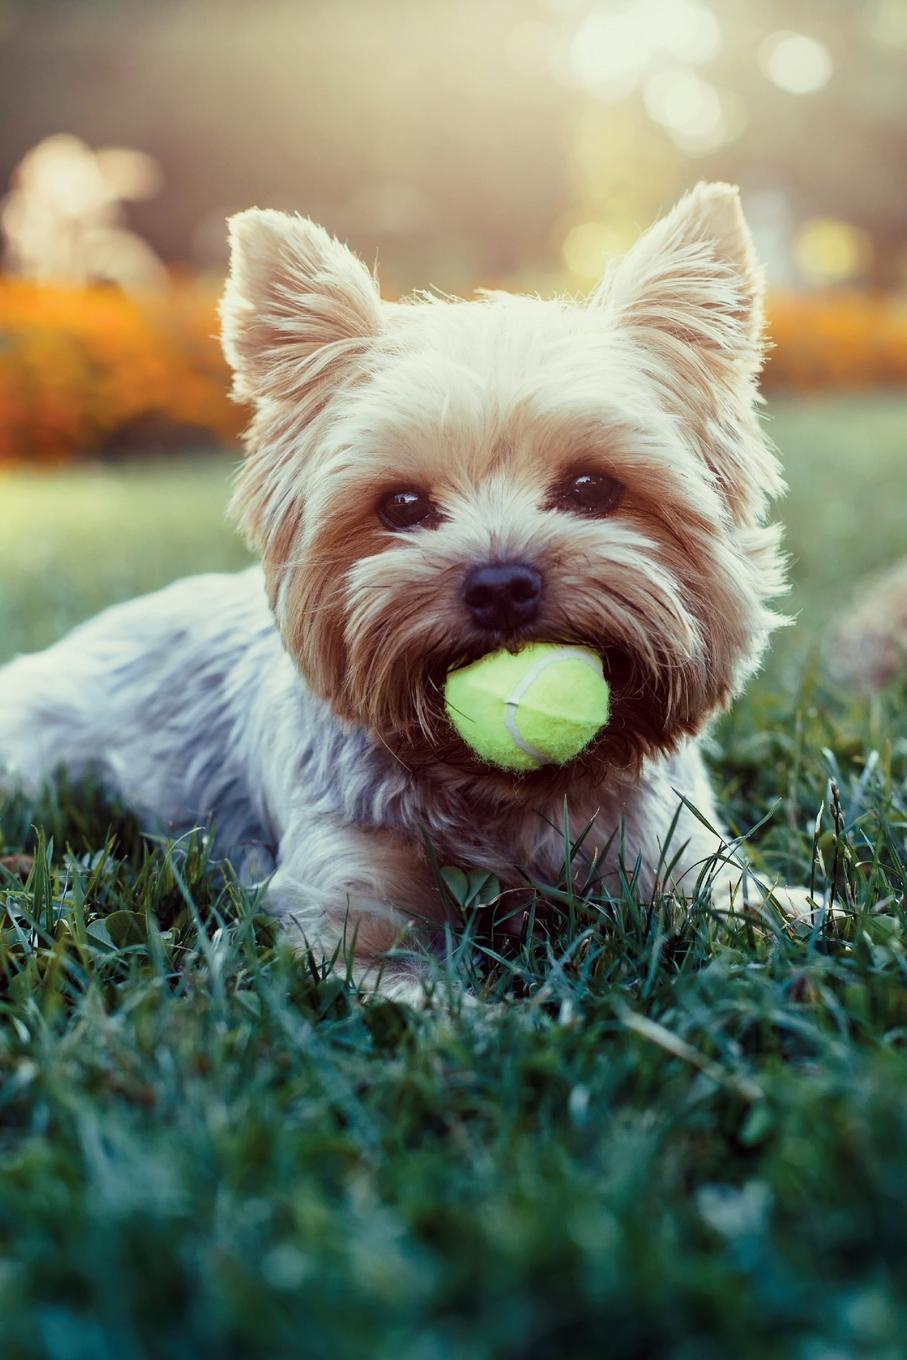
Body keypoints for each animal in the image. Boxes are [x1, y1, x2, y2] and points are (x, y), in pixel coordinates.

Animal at [0, 183, 815, 1000]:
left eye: (592, 487)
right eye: (401, 506)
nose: (500, 583)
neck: (509, 796)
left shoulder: (676, 859)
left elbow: (753, 910)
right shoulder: (345, 908)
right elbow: (405, 986)